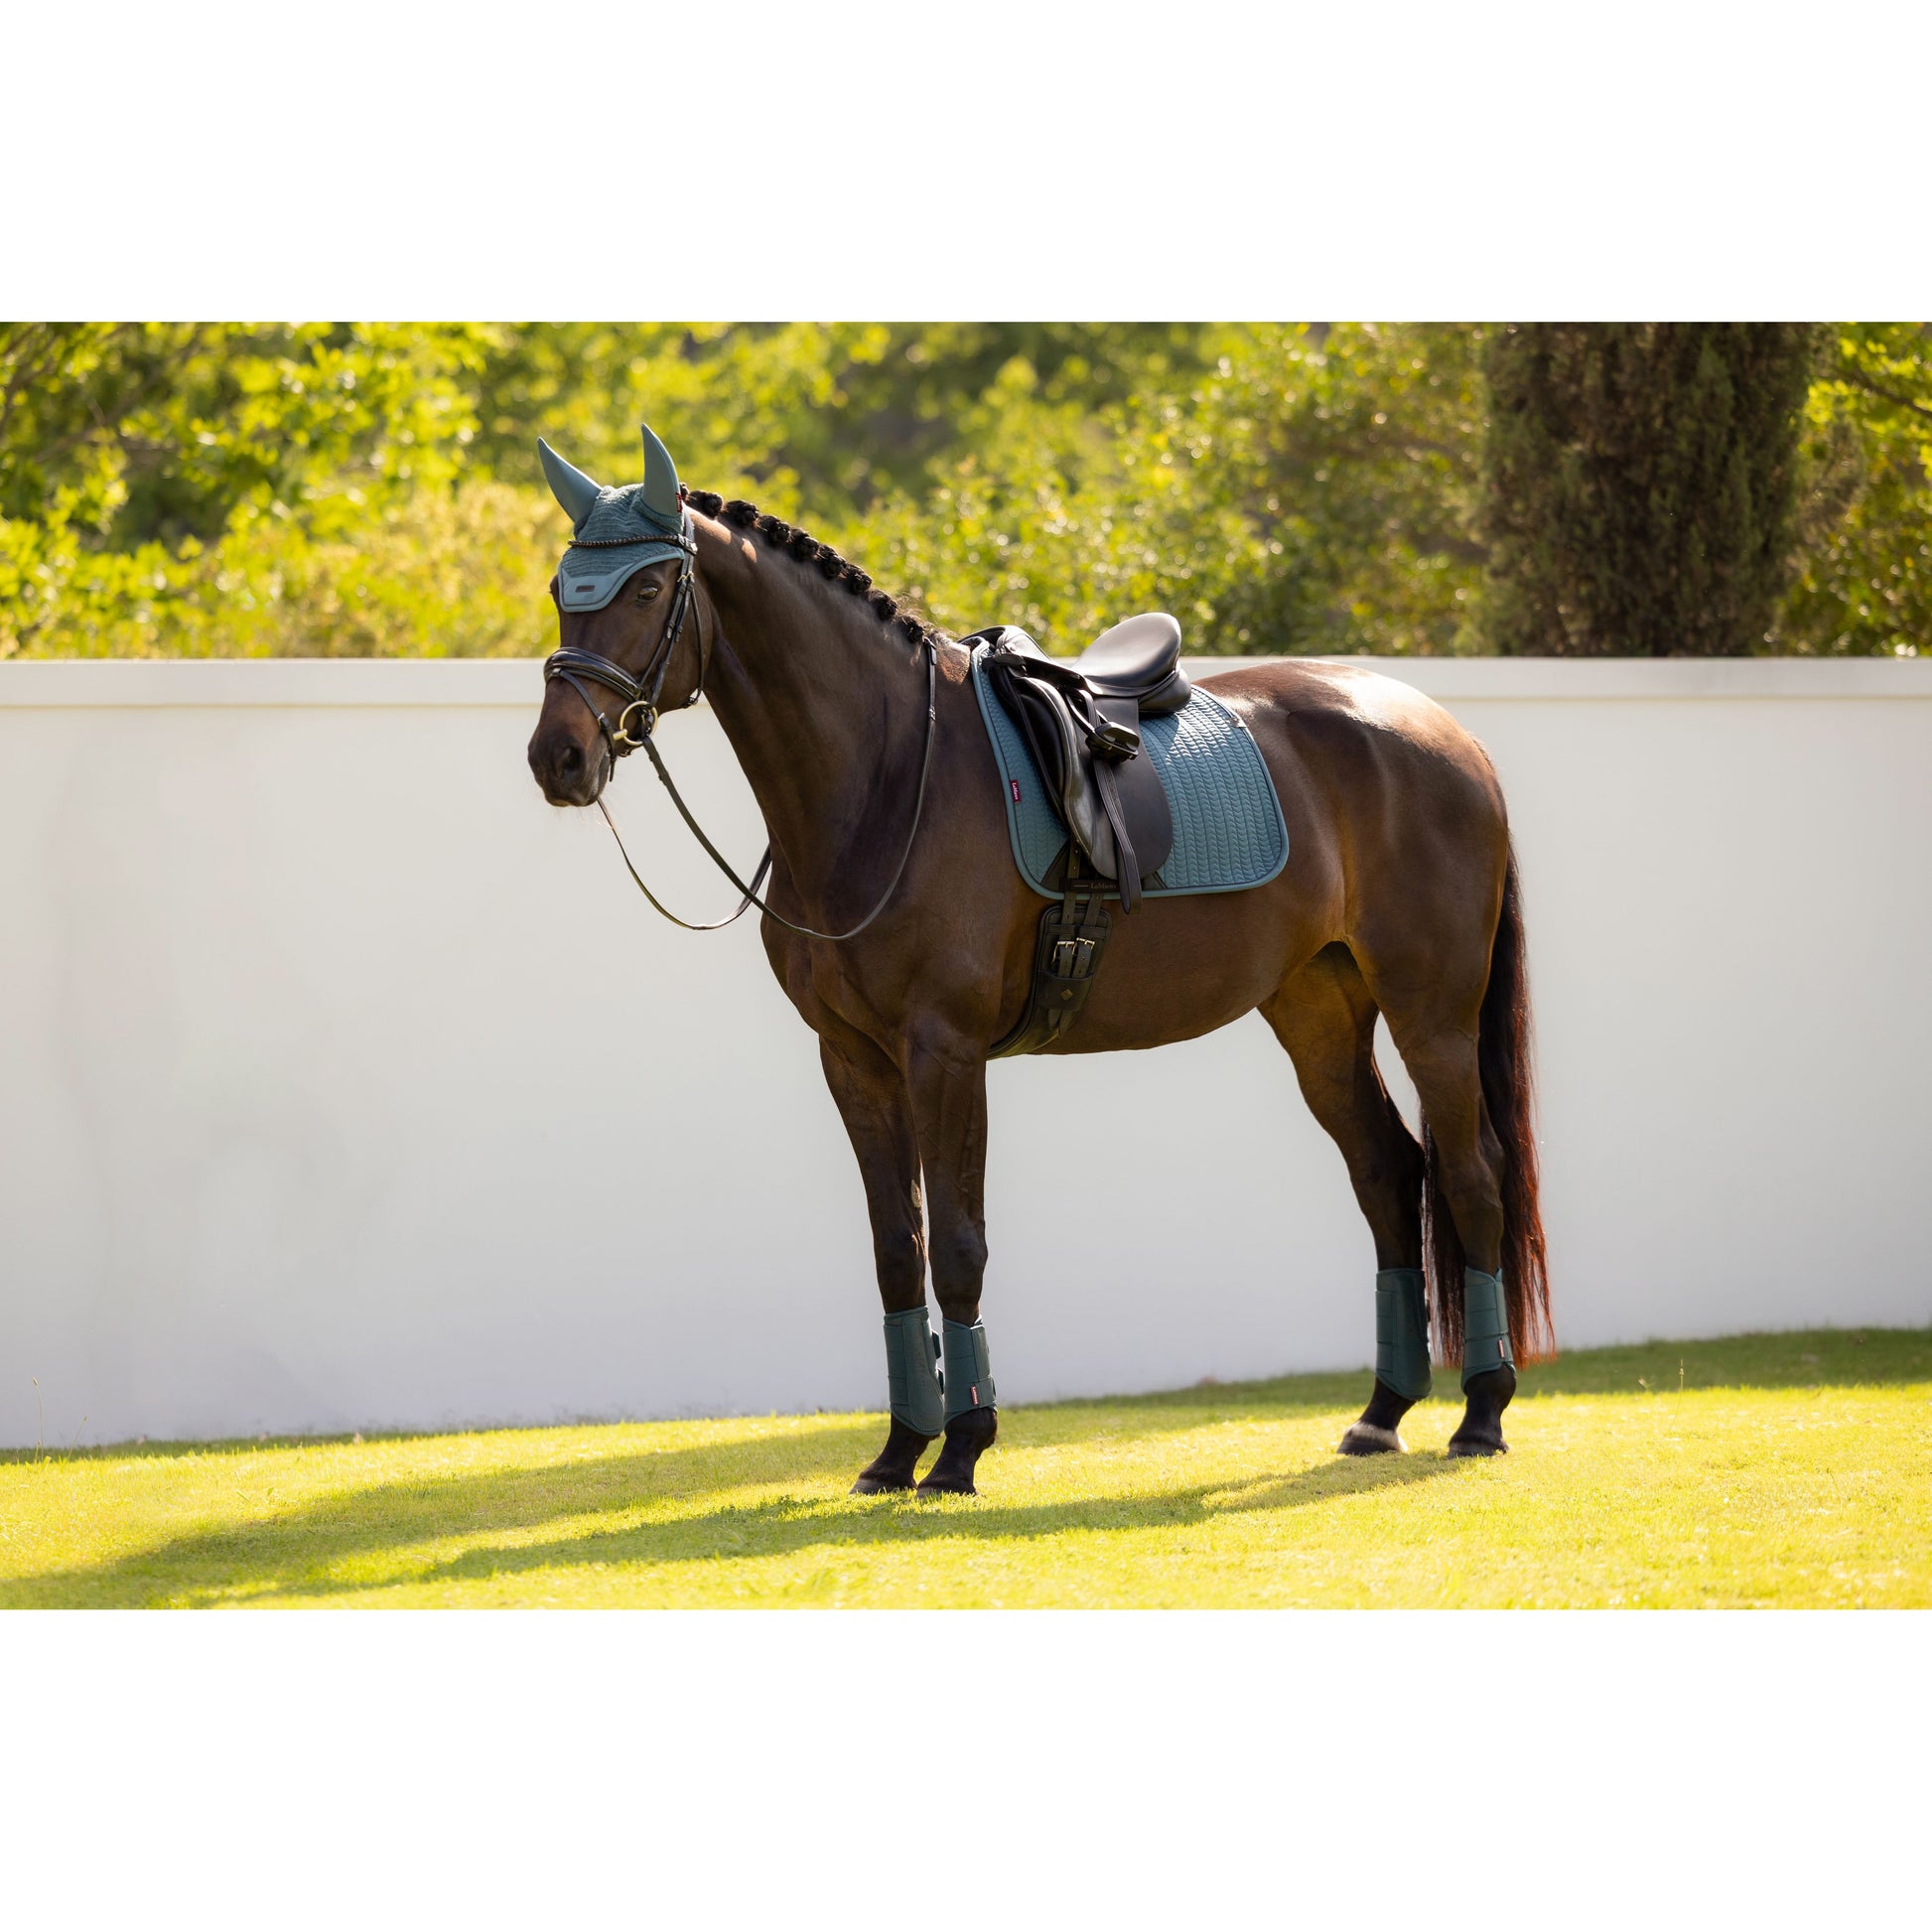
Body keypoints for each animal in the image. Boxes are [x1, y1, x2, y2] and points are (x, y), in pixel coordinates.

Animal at [526, 424, 1552, 1496]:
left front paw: (960, 1447)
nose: (558, 757)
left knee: (1470, 1173)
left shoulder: (943, 1053)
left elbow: (957, 1246)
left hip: (1432, 1011)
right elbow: (898, 1250)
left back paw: (1481, 1412)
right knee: (1388, 1173)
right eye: (563, 586)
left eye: (648, 586)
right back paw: (1382, 1411)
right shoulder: (852, 1058)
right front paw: (897, 1451)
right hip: (1318, 1010)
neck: (889, 775)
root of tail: (1443, 731)